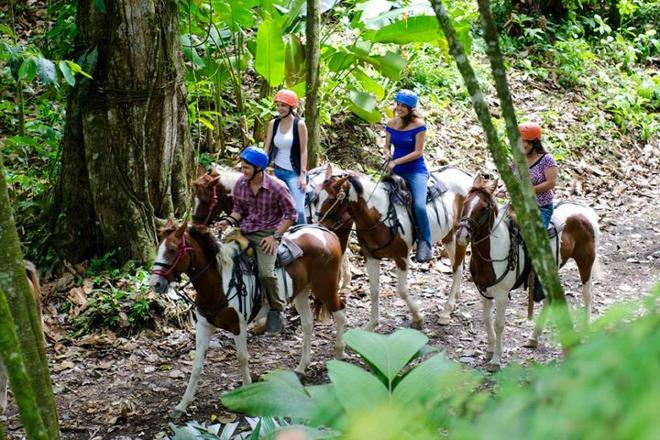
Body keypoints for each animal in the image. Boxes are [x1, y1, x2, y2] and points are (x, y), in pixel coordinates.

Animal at [148, 222, 346, 418]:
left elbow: (242, 358)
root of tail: (326, 233)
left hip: (326, 288)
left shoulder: (238, 326)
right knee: (307, 324)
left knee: (341, 314)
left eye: (172, 250)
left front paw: (247, 392)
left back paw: (339, 356)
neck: (220, 283)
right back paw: (301, 368)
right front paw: (182, 405)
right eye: (157, 249)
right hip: (302, 292)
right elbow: (196, 365)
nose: (155, 283)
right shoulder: (203, 326)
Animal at [314, 165, 474, 330]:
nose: (318, 226)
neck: (378, 215)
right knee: (456, 264)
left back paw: (446, 311)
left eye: (331, 200)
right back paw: (456, 297)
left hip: (461, 235)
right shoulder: (370, 257)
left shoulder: (401, 256)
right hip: (448, 235)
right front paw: (372, 325)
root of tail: (467, 175)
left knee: (457, 267)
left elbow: (402, 291)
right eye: (316, 199)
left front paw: (417, 318)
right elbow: (374, 290)